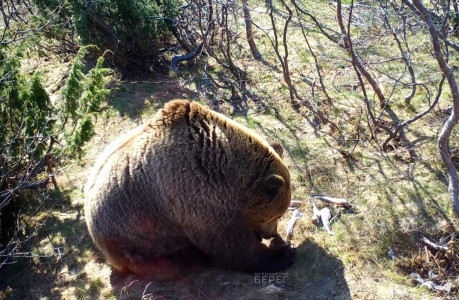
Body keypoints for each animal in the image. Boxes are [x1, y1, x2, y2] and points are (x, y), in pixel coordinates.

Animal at [84, 100, 294, 278]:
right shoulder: (195, 191)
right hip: (135, 237)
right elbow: (229, 243)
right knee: (166, 262)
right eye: (277, 215)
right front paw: (282, 254)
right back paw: (195, 258)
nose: (271, 233)